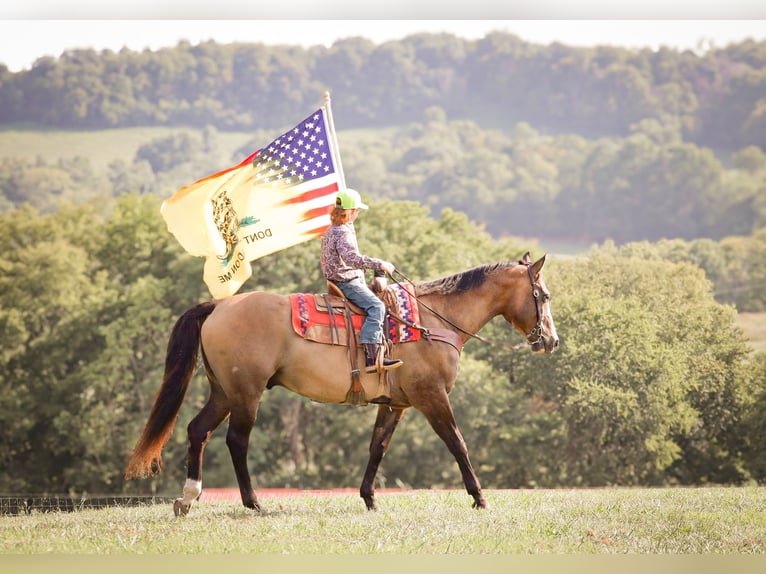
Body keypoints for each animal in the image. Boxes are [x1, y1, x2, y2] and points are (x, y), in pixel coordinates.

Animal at [124, 254, 560, 516]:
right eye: (543, 294)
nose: (551, 341)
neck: (432, 322)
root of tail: (219, 305)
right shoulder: (431, 397)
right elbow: (457, 443)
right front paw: (479, 497)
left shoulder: (395, 404)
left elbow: (377, 448)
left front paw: (369, 498)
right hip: (245, 394)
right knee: (236, 441)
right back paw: (253, 503)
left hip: (223, 393)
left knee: (198, 430)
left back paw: (188, 497)